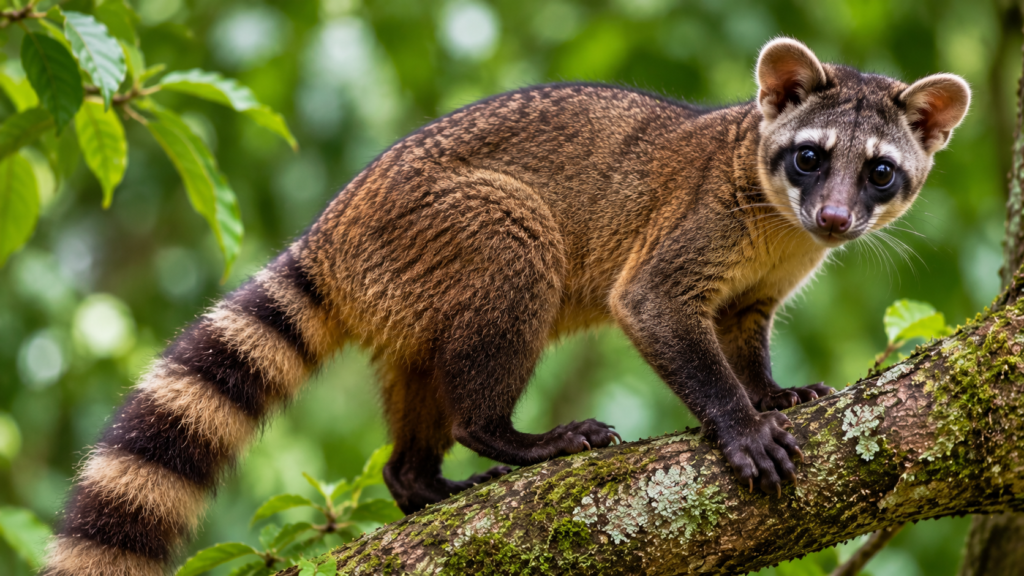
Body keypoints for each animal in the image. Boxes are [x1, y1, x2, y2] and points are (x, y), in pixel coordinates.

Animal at [43, 38, 969, 575]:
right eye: (811, 157)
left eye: (879, 170)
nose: (837, 221)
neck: (782, 221)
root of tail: (332, 237)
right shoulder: (699, 225)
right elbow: (653, 308)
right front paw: (738, 419)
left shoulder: (767, 275)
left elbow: (743, 331)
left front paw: (771, 389)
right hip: (452, 224)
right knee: (519, 257)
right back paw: (504, 435)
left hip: (408, 287)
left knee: (418, 377)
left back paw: (416, 476)